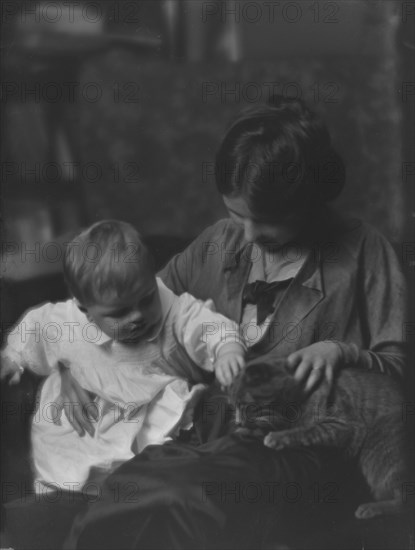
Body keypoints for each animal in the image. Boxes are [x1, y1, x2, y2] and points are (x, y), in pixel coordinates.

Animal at [231, 358, 410, 520]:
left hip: (380, 452)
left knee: (404, 503)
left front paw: (276, 437)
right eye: (234, 405)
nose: (238, 422)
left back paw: (371, 508)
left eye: (243, 405)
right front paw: (245, 430)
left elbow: (306, 431)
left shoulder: (346, 426)